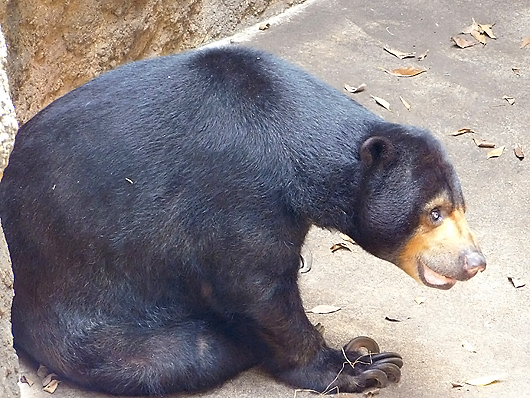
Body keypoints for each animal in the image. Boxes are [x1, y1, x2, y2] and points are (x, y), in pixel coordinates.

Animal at [0, 46, 482, 394]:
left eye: (461, 206)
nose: (475, 262)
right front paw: (362, 365)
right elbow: (254, 283)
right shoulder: (239, 191)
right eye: (434, 212)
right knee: (181, 355)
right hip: (87, 314)